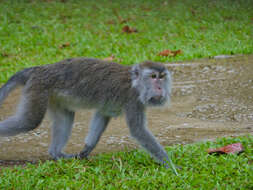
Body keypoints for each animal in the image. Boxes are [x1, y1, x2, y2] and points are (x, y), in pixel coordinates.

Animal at [0, 58, 178, 175]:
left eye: (162, 77)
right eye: (153, 77)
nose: (160, 88)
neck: (135, 84)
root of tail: (39, 69)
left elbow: (102, 114)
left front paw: (87, 149)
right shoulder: (132, 100)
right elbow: (138, 131)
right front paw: (172, 167)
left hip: (52, 96)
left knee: (66, 116)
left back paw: (56, 154)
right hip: (38, 88)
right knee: (29, 122)